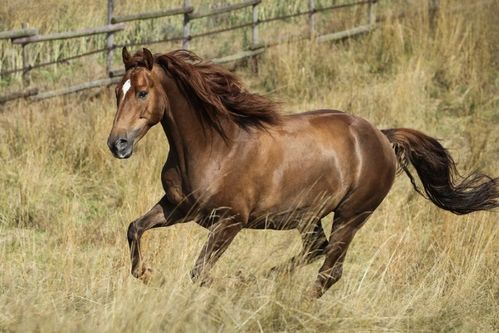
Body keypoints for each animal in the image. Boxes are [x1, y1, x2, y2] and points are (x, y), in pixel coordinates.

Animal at [106, 46, 499, 296]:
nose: (117, 144)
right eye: (117, 92)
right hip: (309, 217)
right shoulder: (179, 208)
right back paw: (264, 280)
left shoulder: (230, 221)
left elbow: (199, 272)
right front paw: (148, 274)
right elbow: (134, 228)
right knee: (316, 252)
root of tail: (383, 138)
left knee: (330, 271)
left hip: (351, 215)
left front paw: (229, 286)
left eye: (142, 92)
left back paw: (271, 290)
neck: (216, 146)